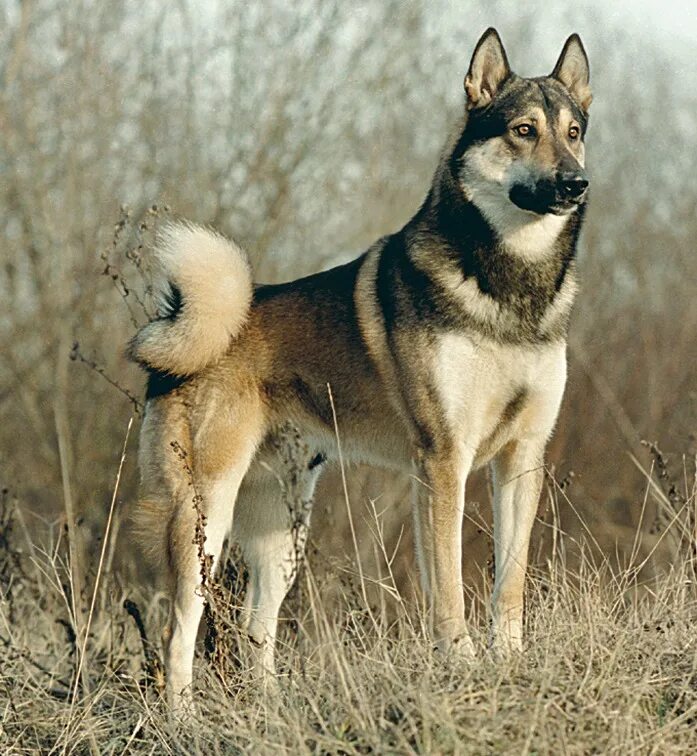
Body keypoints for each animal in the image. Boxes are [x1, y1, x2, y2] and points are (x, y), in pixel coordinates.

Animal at [126, 29, 592, 712]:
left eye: (574, 130)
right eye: (523, 130)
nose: (574, 183)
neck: (510, 290)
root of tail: (182, 328)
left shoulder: (522, 456)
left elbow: (509, 584)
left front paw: (510, 664)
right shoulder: (443, 462)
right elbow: (449, 588)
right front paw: (463, 667)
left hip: (283, 530)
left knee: (257, 627)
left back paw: (272, 711)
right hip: (202, 515)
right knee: (179, 627)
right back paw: (182, 718)